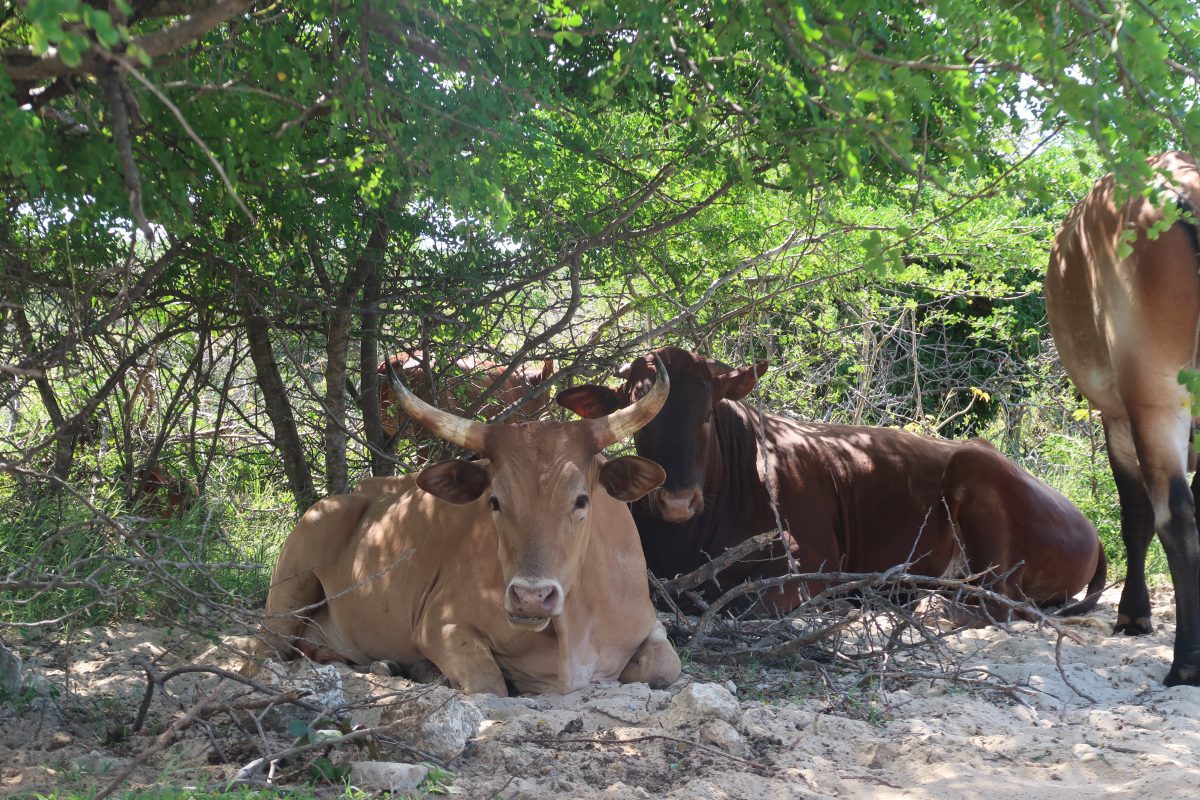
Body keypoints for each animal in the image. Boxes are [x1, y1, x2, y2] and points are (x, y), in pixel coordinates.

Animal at [556, 346, 1105, 618]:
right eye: (640, 421)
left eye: (707, 415)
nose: (677, 500)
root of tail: (1090, 528)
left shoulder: (805, 565)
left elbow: (740, 603)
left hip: (976, 473)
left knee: (994, 596)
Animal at [1045, 150, 1200, 687]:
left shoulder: (1116, 416)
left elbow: (1135, 516)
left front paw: (1133, 613)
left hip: (1156, 396)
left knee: (1175, 514)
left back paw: (1185, 663)